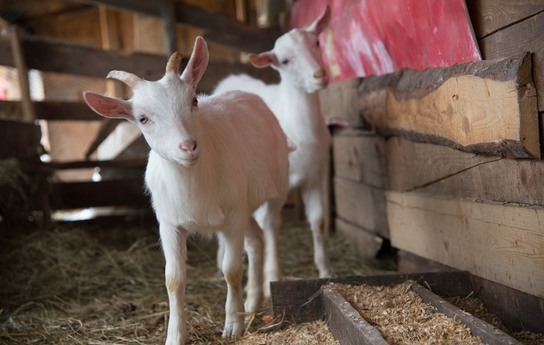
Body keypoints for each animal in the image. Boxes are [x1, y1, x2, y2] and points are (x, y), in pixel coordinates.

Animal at [81, 36, 292, 342]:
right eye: (143, 119)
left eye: (194, 100)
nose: (188, 147)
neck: (194, 180)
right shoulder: (170, 223)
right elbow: (173, 280)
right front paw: (175, 335)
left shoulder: (231, 219)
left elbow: (231, 270)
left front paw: (232, 326)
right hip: (243, 206)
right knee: (255, 241)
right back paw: (251, 304)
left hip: (274, 189)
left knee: (270, 228)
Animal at [214, 5, 334, 292]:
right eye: (285, 61)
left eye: (316, 42)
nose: (319, 75)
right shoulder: (278, 183)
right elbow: (271, 224)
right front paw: (272, 274)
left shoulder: (316, 174)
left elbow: (318, 221)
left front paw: (325, 269)